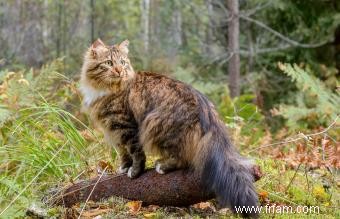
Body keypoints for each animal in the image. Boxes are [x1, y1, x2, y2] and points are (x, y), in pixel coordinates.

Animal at [79, 38, 258, 217]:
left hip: (155, 125)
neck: (107, 89)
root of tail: (207, 110)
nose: (119, 71)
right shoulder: (114, 131)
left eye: (122, 62)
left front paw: (134, 172)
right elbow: (123, 153)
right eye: (109, 63)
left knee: (183, 159)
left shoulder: (126, 127)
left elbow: (136, 153)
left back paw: (162, 166)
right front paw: (124, 168)